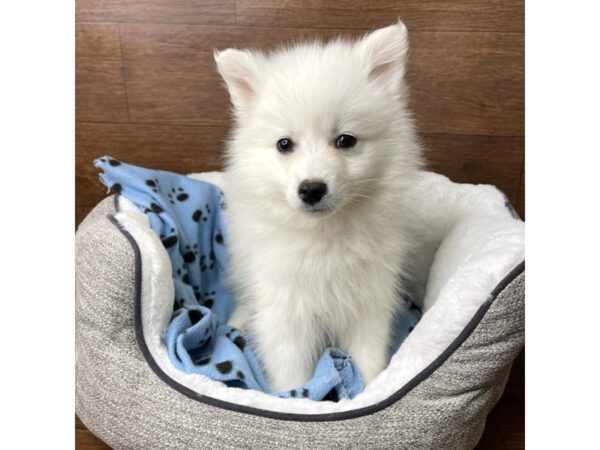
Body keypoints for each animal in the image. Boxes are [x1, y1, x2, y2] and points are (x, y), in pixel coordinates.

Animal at [214, 22, 422, 392]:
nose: (311, 189)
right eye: (284, 144)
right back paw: (239, 322)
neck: (325, 233)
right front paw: (291, 397)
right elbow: (290, 370)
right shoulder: (285, 308)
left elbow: (367, 357)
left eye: (346, 140)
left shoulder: (369, 300)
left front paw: (370, 392)